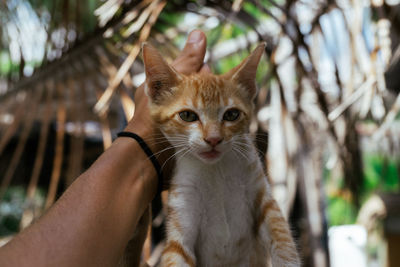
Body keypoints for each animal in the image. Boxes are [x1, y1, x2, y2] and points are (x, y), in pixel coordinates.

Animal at [142, 43, 298, 266]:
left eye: (232, 114)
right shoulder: (181, 222)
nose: (214, 139)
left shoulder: (263, 198)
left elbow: (282, 238)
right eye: (187, 115)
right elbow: (177, 252)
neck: (216, 171)